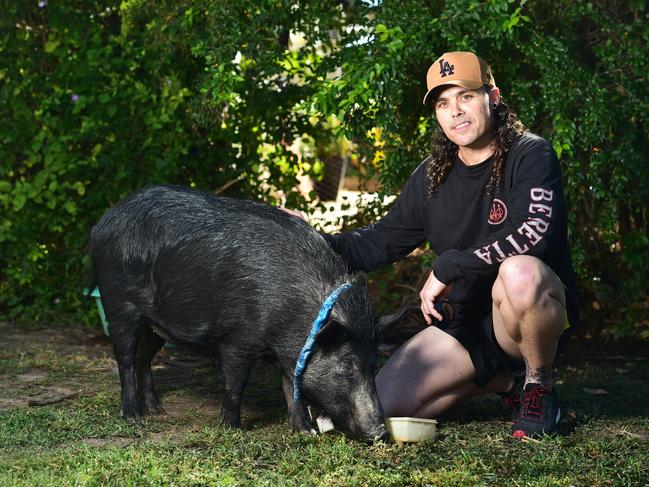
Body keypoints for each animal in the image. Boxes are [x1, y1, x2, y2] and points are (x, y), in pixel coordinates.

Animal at [88, 184, 398, 442]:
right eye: (347, 367)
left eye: (373, 364)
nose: (380, 433)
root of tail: (103, 222)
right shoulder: (237, 339)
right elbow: (236, 382)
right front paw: (231, 427)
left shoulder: (289, 350)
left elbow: (290, 386)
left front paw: (306, 432)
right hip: (119, 303)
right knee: (126, 360)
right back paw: (133, 417)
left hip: (155, 323)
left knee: (144, 359)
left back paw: (157, 411)